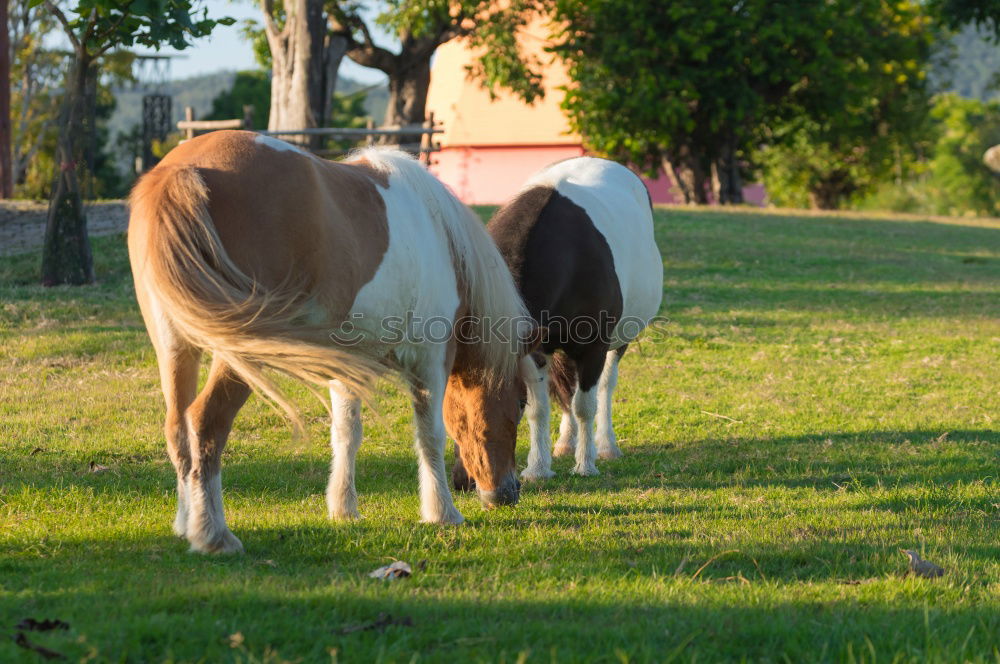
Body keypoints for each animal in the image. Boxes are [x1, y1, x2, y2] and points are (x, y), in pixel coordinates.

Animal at [130, 131, 536, 556]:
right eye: (519, 402)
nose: (507, 493)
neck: (440, 235)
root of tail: (183, 169)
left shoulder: (347, 366)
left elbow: (346, 434)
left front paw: (343, 509)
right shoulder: (429, 359)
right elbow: (430, 434)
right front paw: (442, 512)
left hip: (176, 348)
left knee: (178, 428)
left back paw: (185, 523)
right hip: (237, 354)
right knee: (205, 422)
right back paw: (213, 535)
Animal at [450, 158, 660, 486]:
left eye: (513, 406)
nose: (464, 480)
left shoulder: (594, 348)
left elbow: (585, 406)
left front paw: (585, 464)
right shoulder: (532, 349)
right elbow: (541, 408)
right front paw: (538, 467)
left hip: (619, 341)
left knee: (605, 387)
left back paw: (606, 445)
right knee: (564, 389)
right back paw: (564, 443)